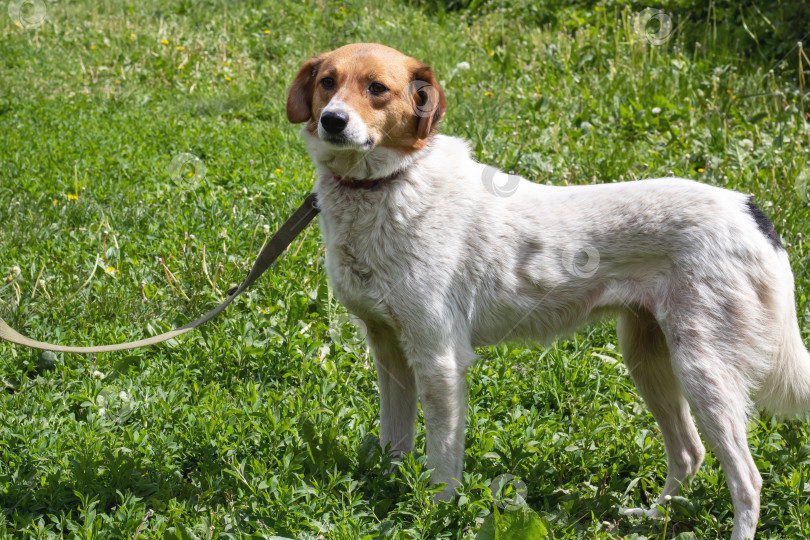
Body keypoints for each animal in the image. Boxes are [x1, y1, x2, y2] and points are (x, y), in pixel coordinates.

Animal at [286, 43, 808, 540]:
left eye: (377, 88)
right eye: (328, 82)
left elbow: (442, 465)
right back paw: (648, 518)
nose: (333, 120)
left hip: (704, 370)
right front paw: (390, 496)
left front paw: (437, 517)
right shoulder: (389, 351)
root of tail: (750, 211)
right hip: (648, 357)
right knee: (689, 452)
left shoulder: (440, 359)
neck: (383, 186)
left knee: (747, 480)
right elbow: (395, 445)